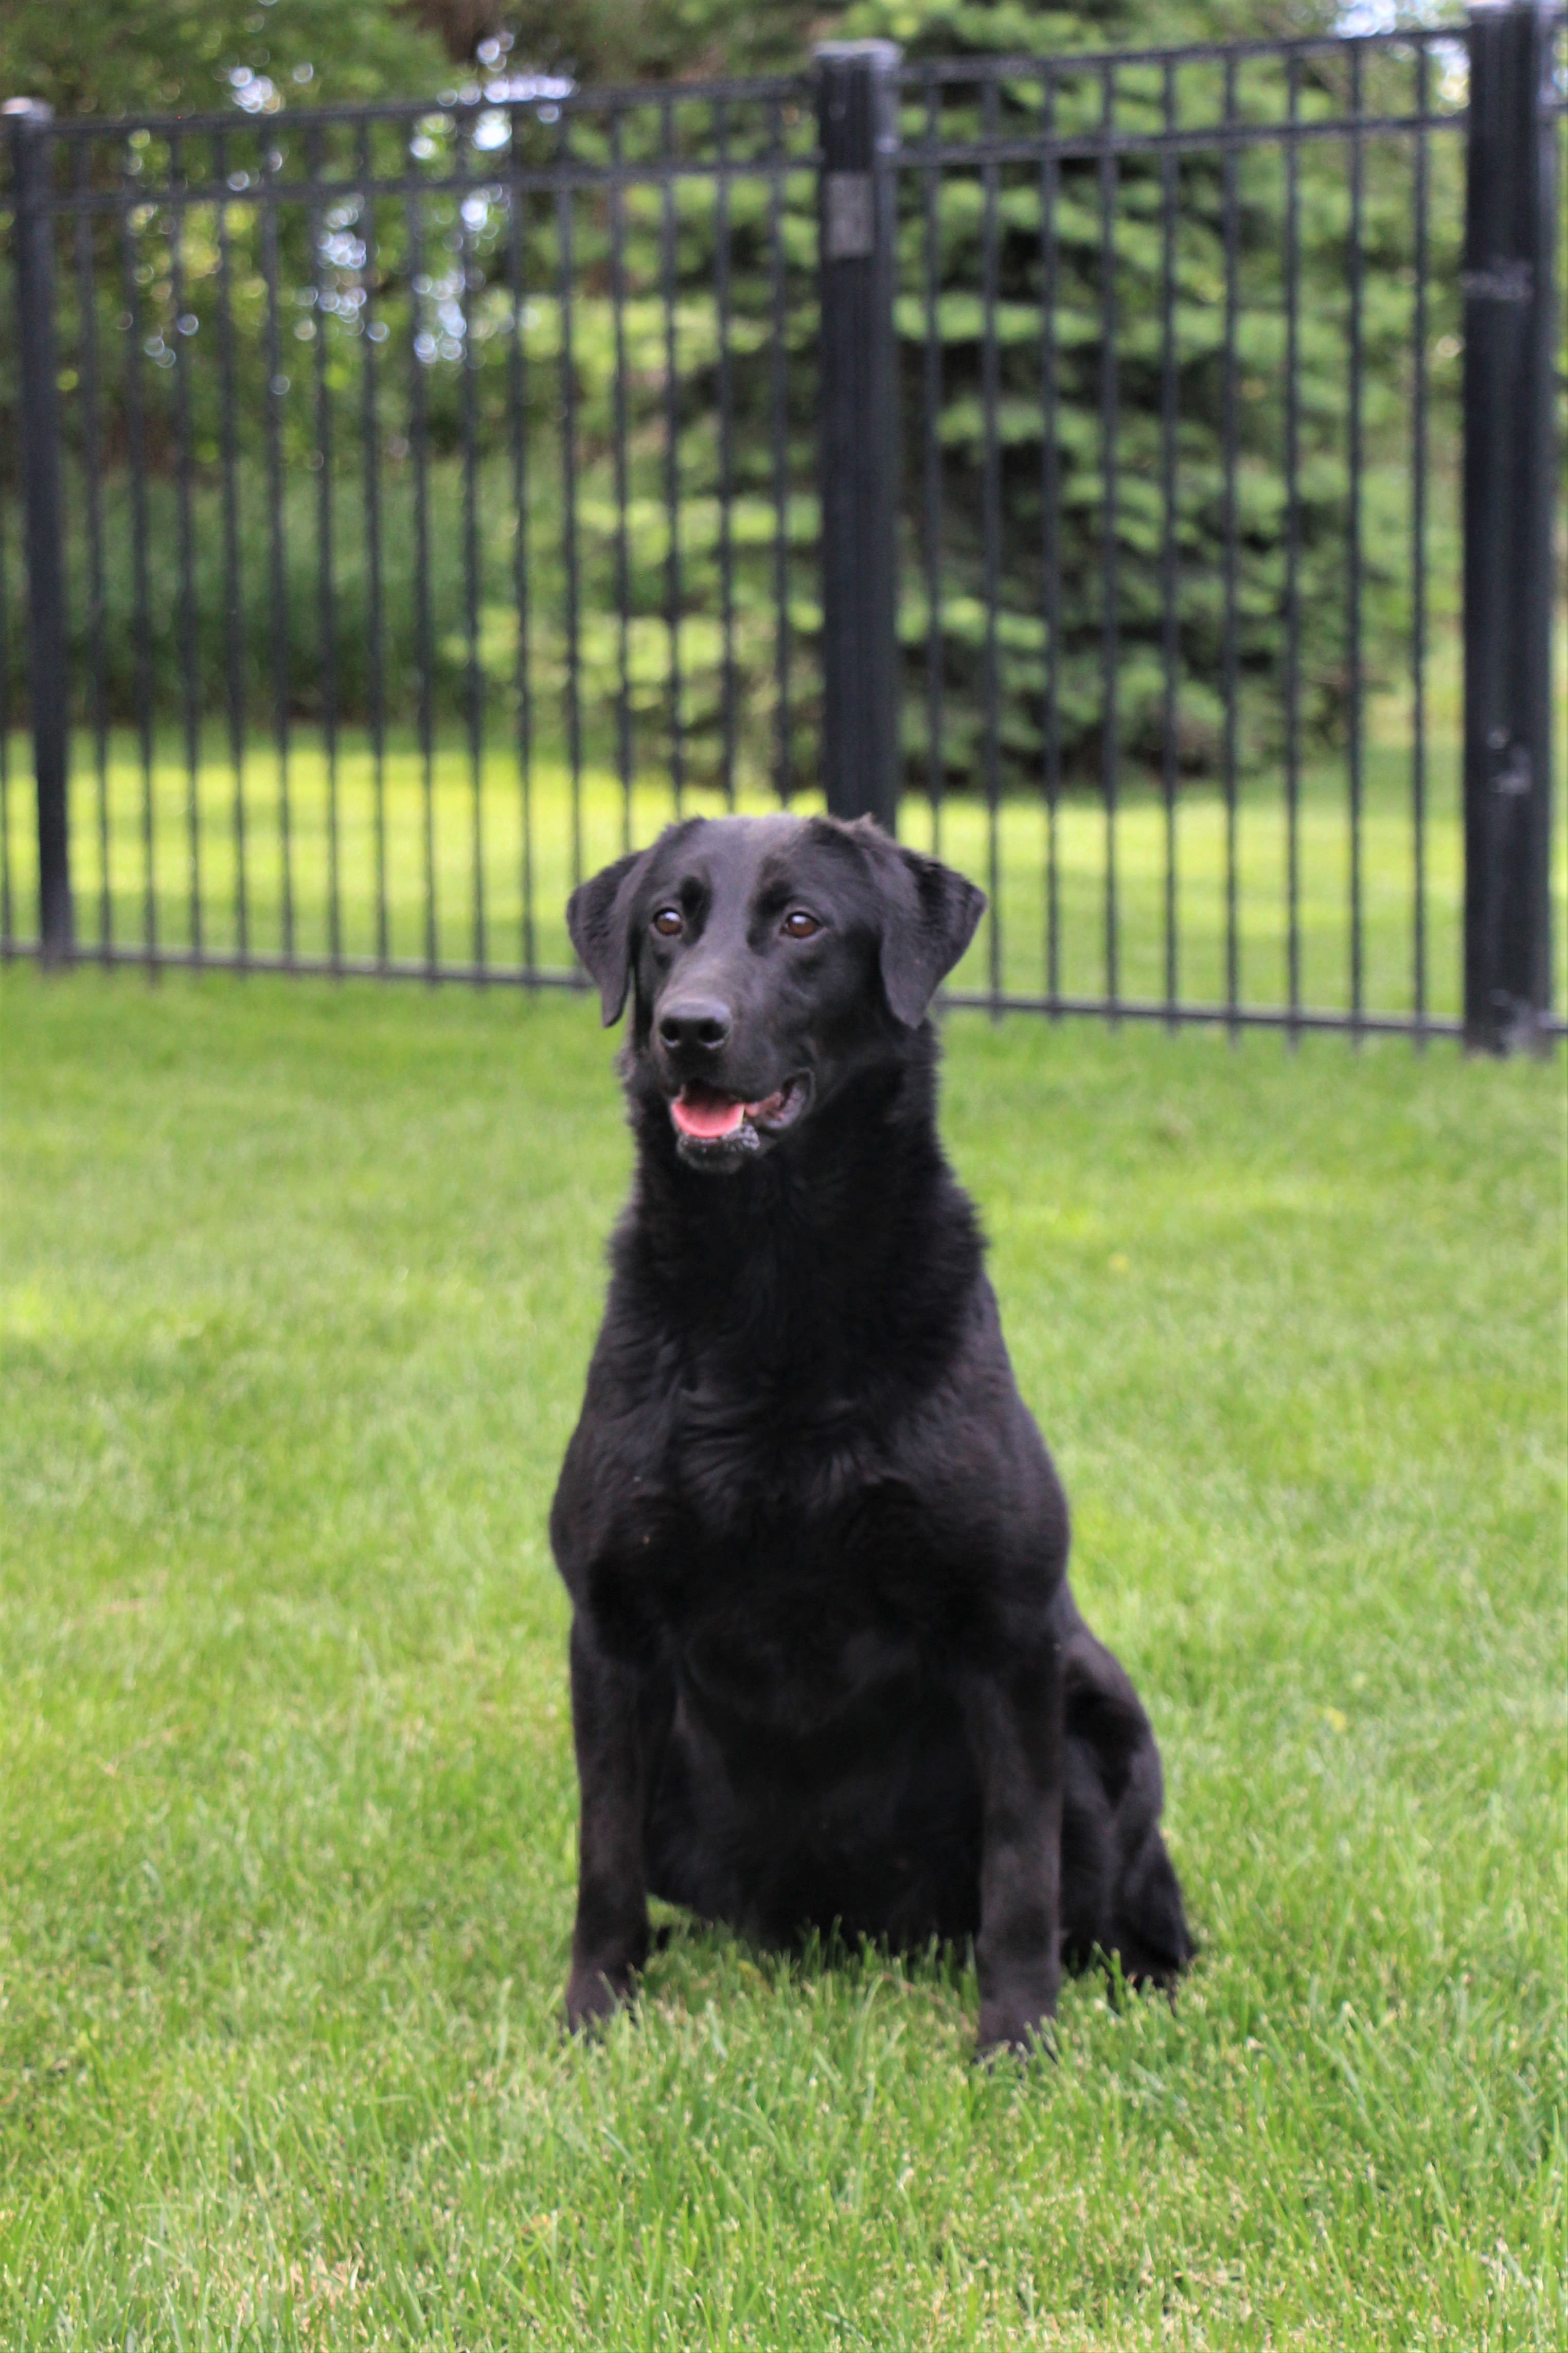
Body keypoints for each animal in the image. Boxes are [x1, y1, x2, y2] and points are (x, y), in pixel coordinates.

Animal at [552, 819, 1189, 2051]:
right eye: (667, 921)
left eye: (802, 923)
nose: (685, 1028)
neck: (771, 1284)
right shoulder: (609, 1630)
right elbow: (600, 1862)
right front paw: (591, 2016)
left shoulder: (1008, 1637)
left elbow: (1020, 1873)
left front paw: (1018, 2039)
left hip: (1100, 1718)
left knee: (1125, 1894)